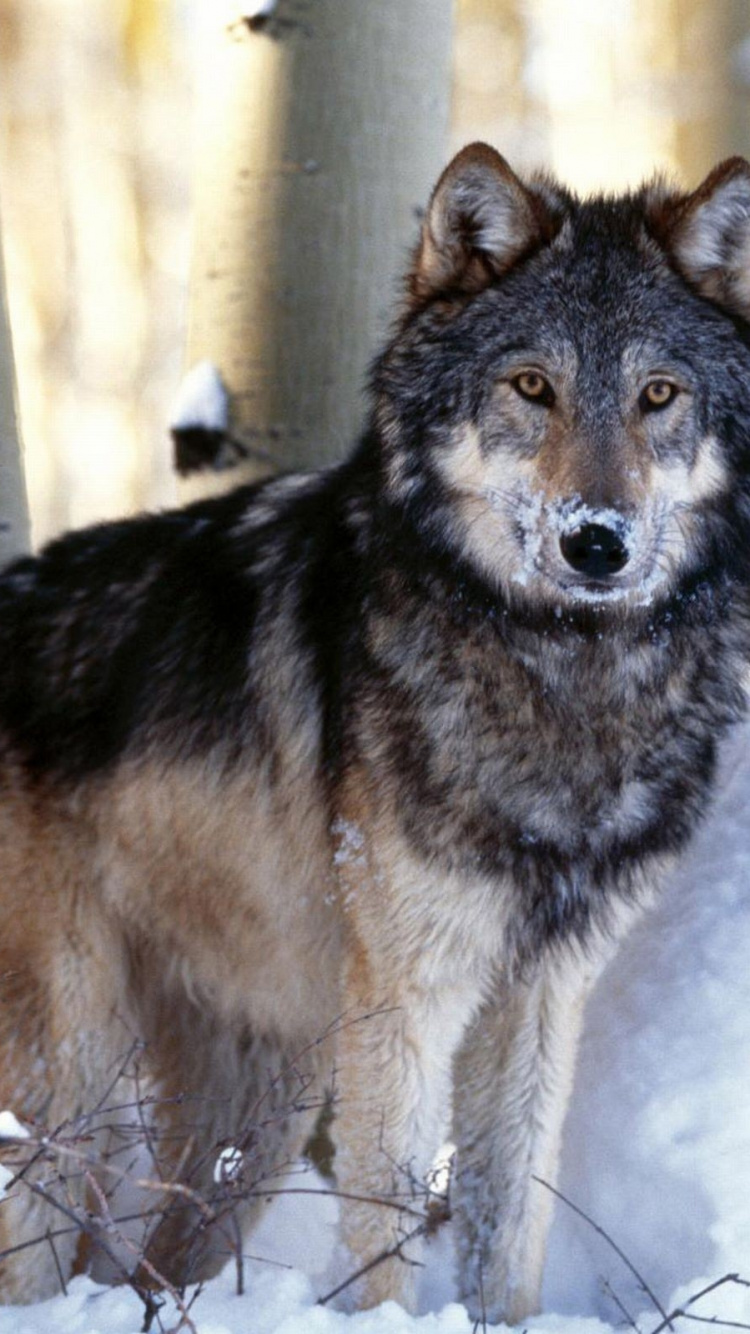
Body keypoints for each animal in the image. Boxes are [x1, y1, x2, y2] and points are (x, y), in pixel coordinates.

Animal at [1, 143, 750, 1321]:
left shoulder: (542, 995)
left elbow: (507, 1221)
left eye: (658, 395)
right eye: (531, 386)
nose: (598, 542)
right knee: (38, 1250)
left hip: (263, 1101)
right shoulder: (409, 996)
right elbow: (387, 1230)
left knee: (149, 1261)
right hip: (77, 1062)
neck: (560, 676)